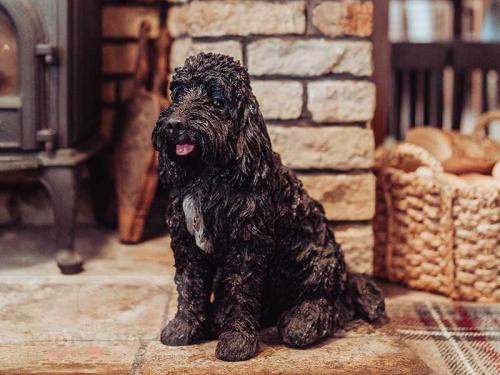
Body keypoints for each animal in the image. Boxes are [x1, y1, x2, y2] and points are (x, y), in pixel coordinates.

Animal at [150, 52, 384, 362]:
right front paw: (184, 328)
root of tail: (347, 279)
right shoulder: (187, 242)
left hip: (320, 263)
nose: (175, 124)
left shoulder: (247, 244)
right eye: (177, 92)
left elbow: (241, 290)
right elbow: (189, 285)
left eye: (216, 99)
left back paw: (302, 320)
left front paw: (237, 340)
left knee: (330, 305)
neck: (209, 174)